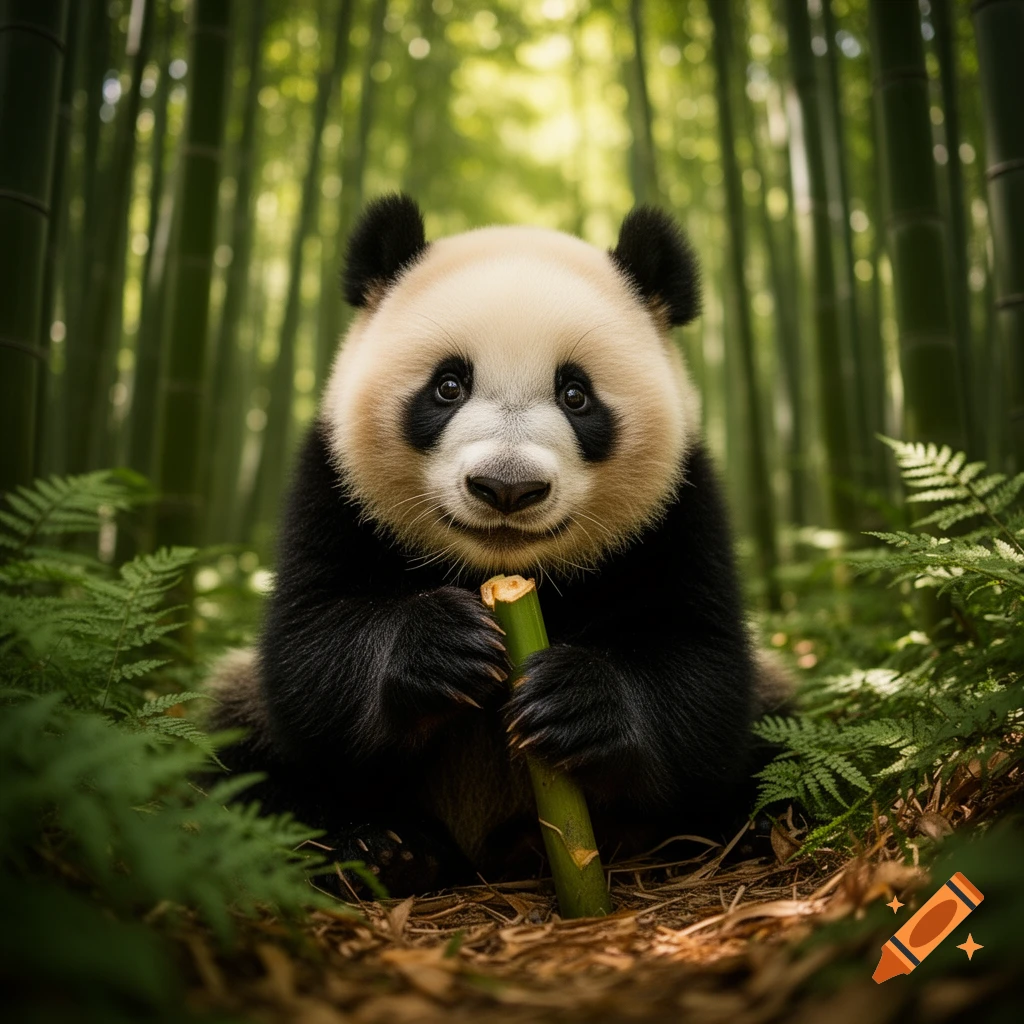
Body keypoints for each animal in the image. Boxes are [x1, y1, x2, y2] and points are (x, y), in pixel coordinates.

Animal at [207, 194, 785, 897]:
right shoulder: (333, 491)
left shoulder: (680, 512)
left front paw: (577, 700)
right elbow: (308, 648)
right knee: (238, 749)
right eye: (448, 386)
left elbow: (704, 671)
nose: (507, 487)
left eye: (576, 394)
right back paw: (382, 846)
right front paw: (441, 645)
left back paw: (759, 820)